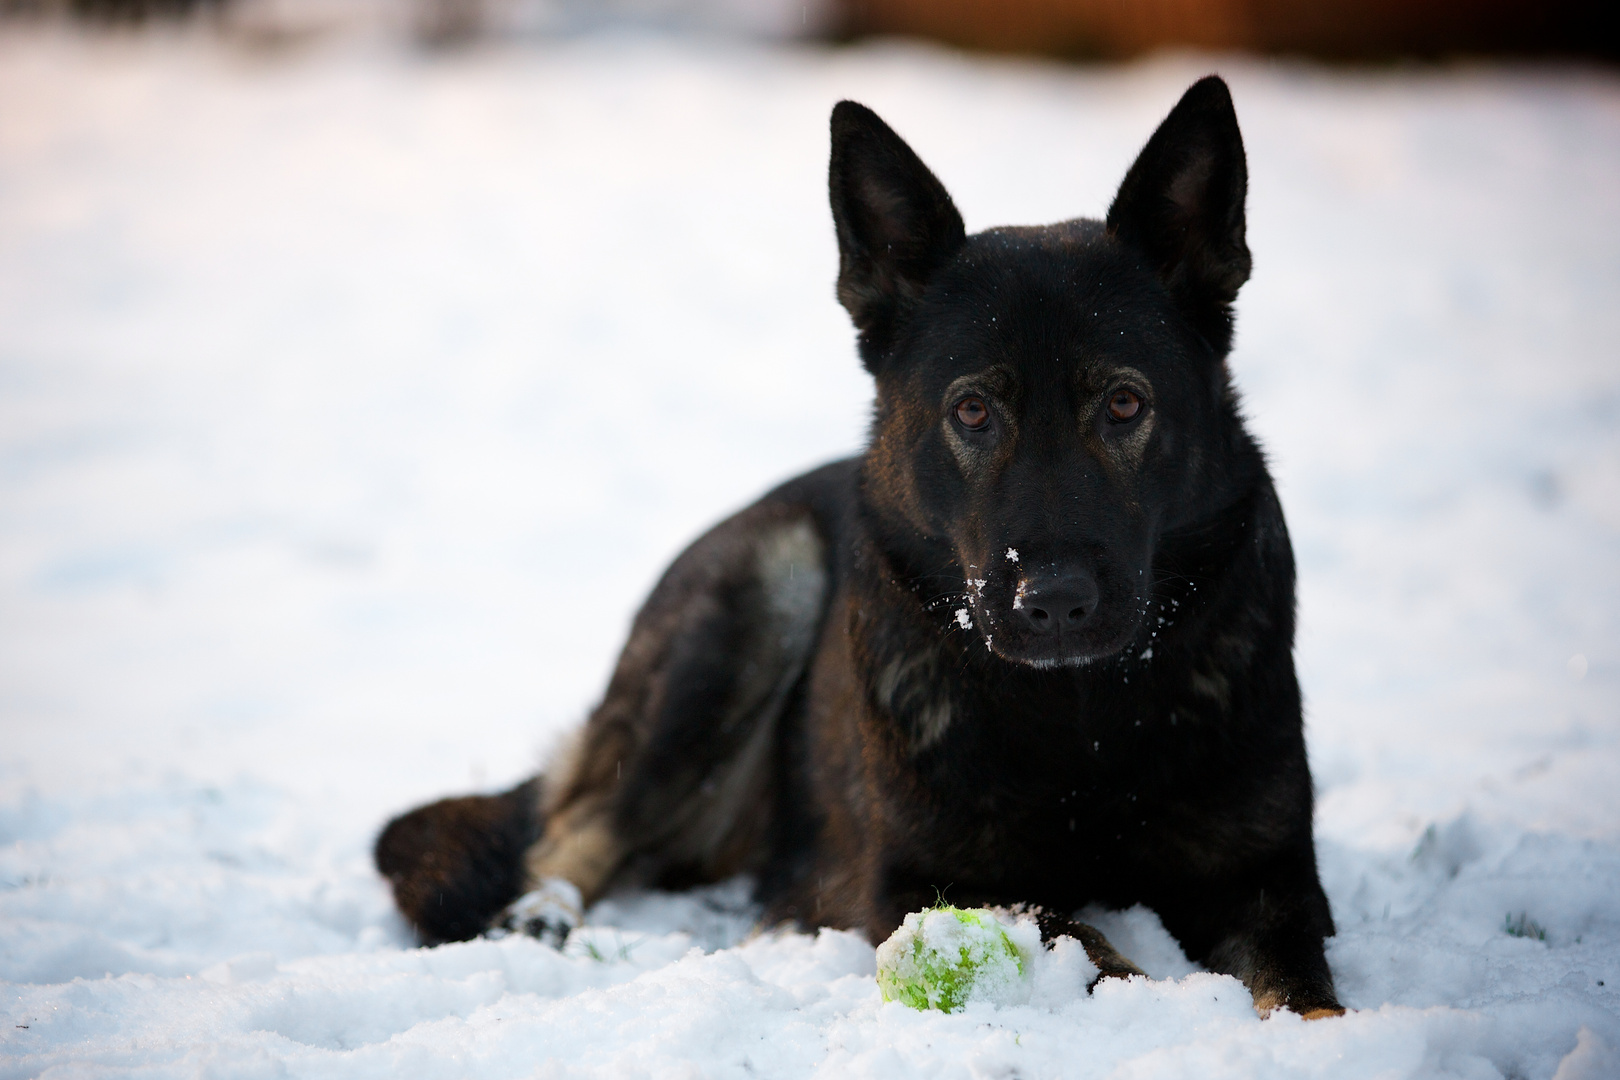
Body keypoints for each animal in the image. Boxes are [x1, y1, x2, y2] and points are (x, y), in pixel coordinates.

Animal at [375, 76, 1341, 1023]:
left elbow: (1305, 1000)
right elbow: (1085, 944)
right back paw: (542, 914)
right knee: (579, 825)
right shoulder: (923, 880)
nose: (1056, 601)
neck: (1079, 720)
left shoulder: (1274, 880)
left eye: (1125, 404)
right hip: (753, 605)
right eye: (973, 411)